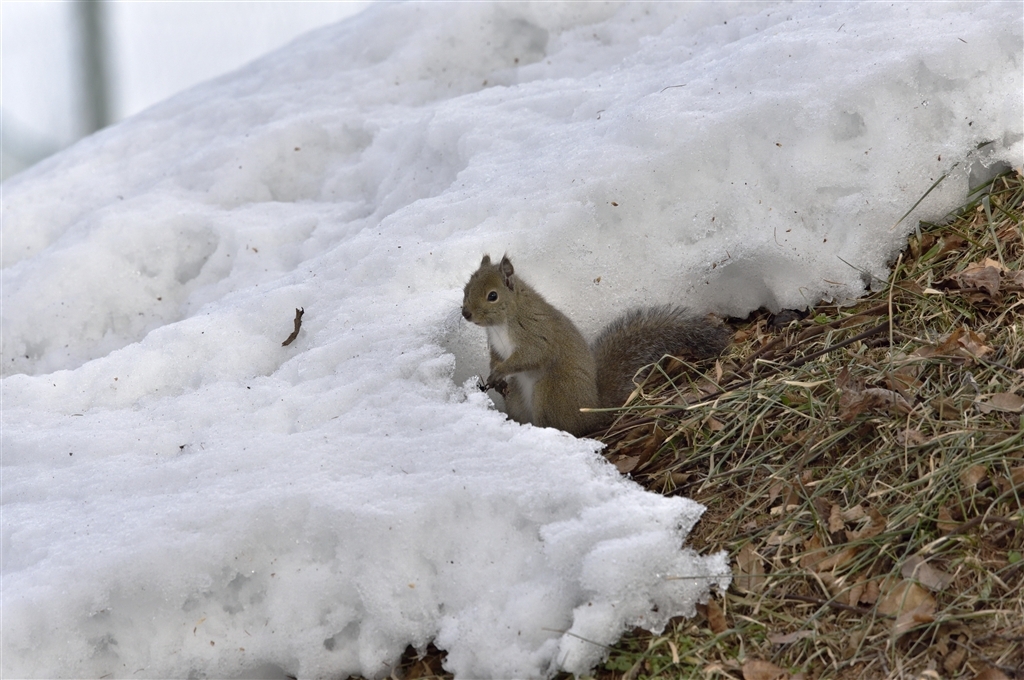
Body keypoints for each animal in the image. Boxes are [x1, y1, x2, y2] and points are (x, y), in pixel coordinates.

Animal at [460, 253, 733, 436]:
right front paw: (494, 374)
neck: (502, 323)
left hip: (550, 392)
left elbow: (529, 356)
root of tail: (593, 409)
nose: (466, 314)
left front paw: (501, 371)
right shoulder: (496, 345)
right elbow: (496, 357)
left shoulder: (536, 335)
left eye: (492, 296)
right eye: (466, 288)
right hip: (519, 398)